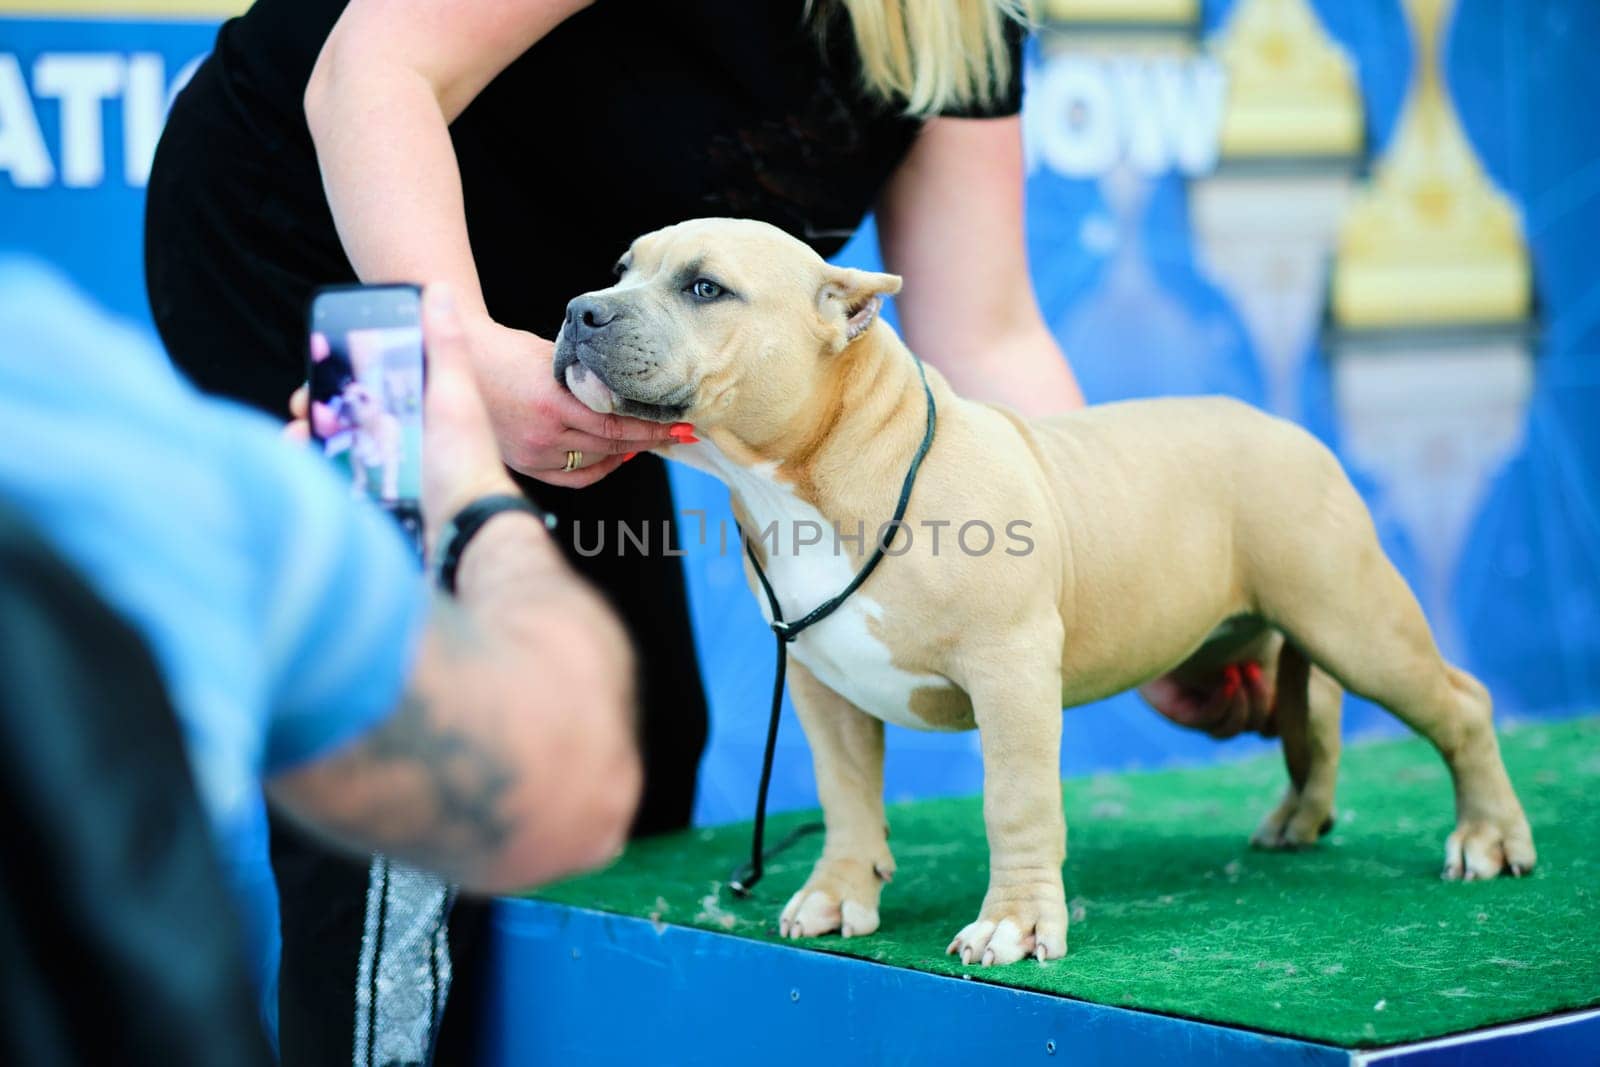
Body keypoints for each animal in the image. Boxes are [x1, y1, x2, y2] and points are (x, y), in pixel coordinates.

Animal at [550, 217, 1536, 966]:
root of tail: (1289, 429)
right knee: (1315, 706)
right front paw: (838, 892)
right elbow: (846, 795)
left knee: (1458, 703)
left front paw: (1015, 923)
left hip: (1358, 621)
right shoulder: (826, 686)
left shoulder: (1011, 672)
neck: (818, 473)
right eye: (622, 270)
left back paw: (1487, 836)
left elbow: (1015, 801)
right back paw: (1303, 814)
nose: (577, 309)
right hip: (1269, 639)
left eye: (705, 288)